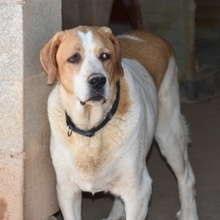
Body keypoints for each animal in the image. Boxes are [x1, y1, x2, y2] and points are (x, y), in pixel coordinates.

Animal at [40, 26, 199, 220]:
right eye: (74, 58)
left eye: (105, 56)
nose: (98, 80)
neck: (92, 130)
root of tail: (151, 35)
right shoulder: (67, 191)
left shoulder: (138, 191)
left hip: (169, 137)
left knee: (187, 179)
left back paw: (189, 213)